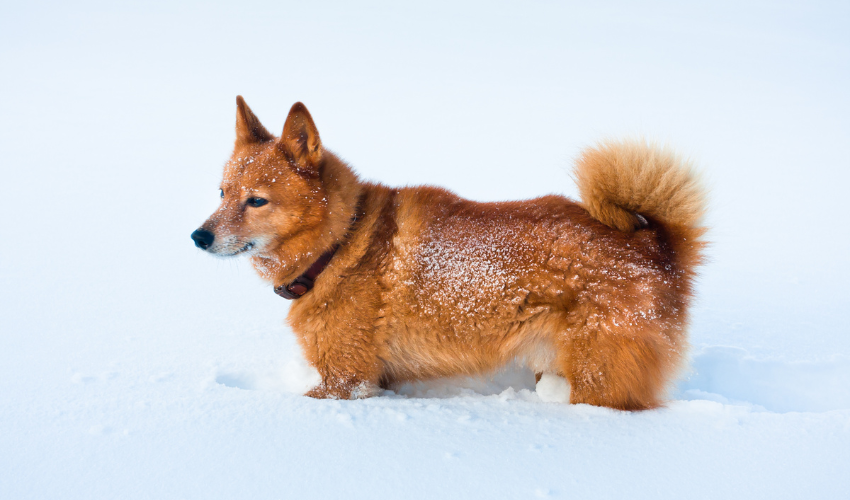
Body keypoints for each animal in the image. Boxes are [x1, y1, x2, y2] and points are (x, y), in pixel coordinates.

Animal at [195, 97, 704, 410]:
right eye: (221, 192)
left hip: (599, 379)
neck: (342, 243)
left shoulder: (347, 382)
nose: (198, 237)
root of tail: (655, 244)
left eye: (256, 200)